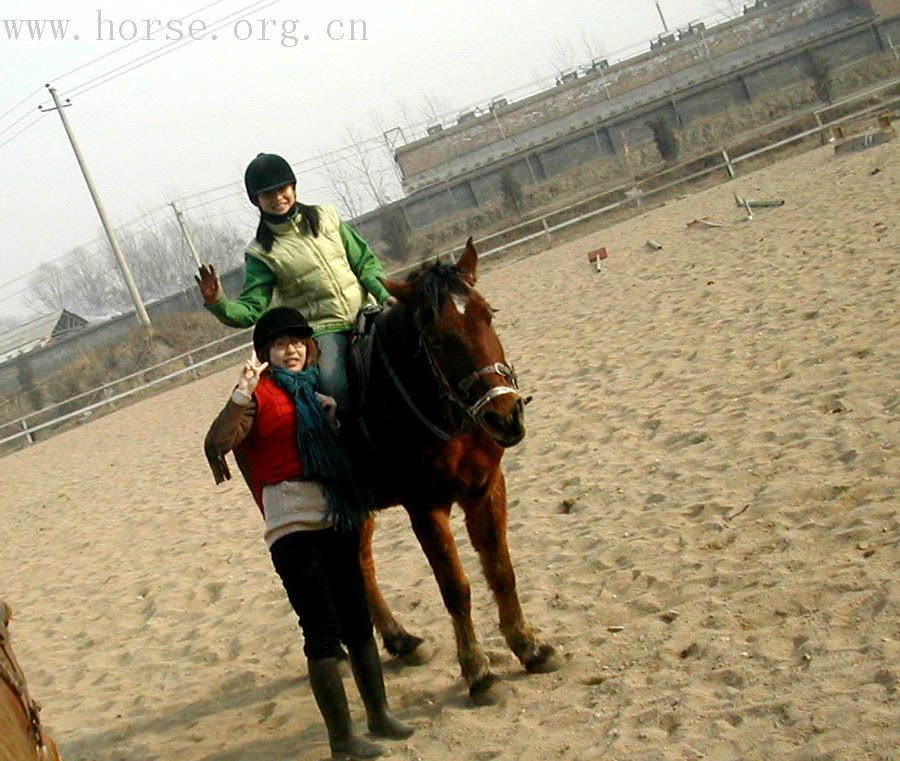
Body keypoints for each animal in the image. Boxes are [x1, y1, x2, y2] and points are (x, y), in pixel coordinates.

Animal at [354, 236, 560, 700]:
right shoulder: (425, 507)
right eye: (436, 338)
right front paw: (478, 671)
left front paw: (529, 646)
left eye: (489, 314)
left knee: (363, 567)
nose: (505, 416)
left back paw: (401, 640)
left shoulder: (486, 488)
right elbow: (456, 587)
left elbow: (501, 571)